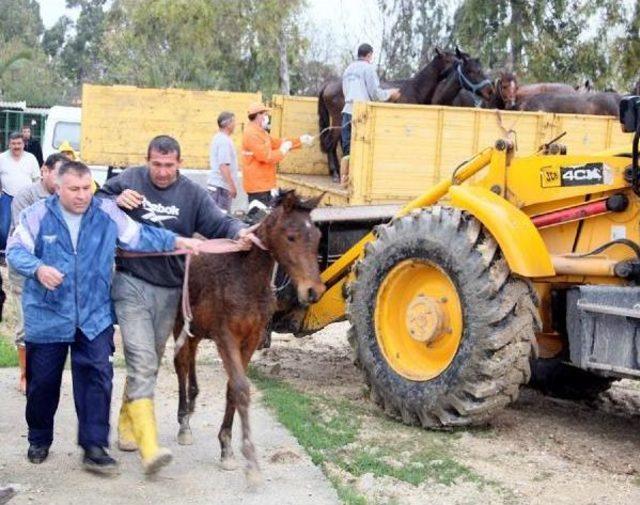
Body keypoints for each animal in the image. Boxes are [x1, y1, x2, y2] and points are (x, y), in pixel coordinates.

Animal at [172, 190, 324, 488]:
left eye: (317, 236)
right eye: (291, 236)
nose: (313, 291)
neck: (242, 279)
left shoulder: (251, 340)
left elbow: (233, 388)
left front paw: (227, 447)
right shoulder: (226, 337)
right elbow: (241, 387)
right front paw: (249, 461)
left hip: (195, 326)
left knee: (190, 356)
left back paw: (193, 401)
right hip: (177, 322)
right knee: (181, 364)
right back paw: (183, 422)